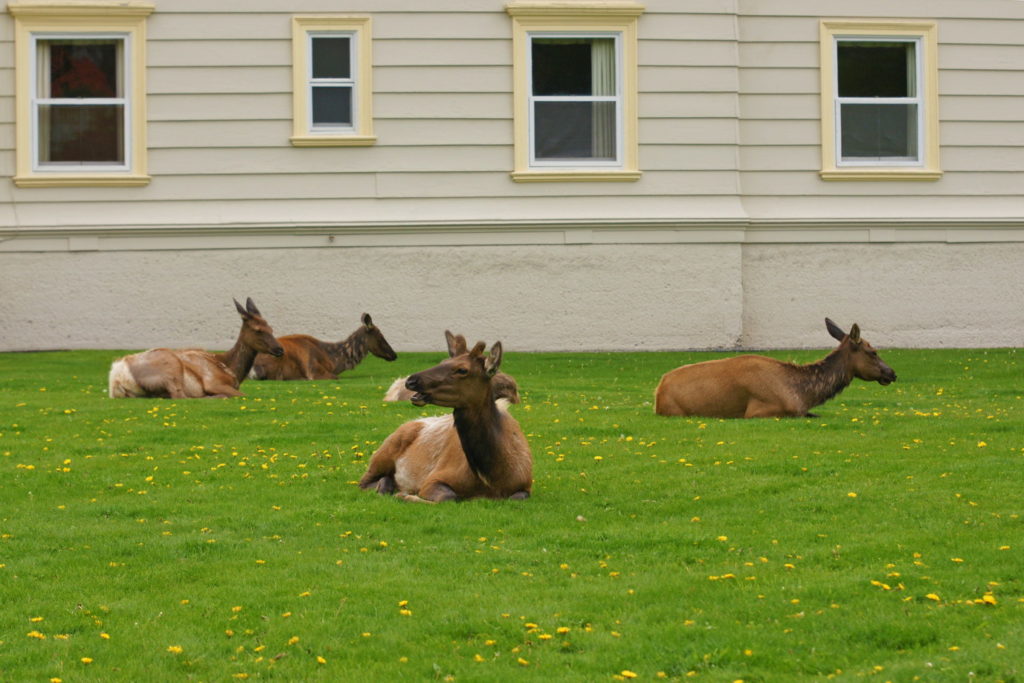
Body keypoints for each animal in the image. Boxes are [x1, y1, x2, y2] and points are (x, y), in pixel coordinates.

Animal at [107, 296, 284, 397]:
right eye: (258, 330)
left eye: (270, 327)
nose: (280, 349)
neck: (232, 370)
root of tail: (117, 377)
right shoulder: (213, 382)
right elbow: (245, 395)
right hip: (170, 367)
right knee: (180, 396)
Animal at [360, 333, 532, 505]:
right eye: (442, 362)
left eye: (462, 370)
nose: (410, 380)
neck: (491, 478)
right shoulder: (433, 478)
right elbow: (449, 497)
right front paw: (405, 495)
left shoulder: (525, 485)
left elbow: (517, 497)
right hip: (383, 453)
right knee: (364, 482)